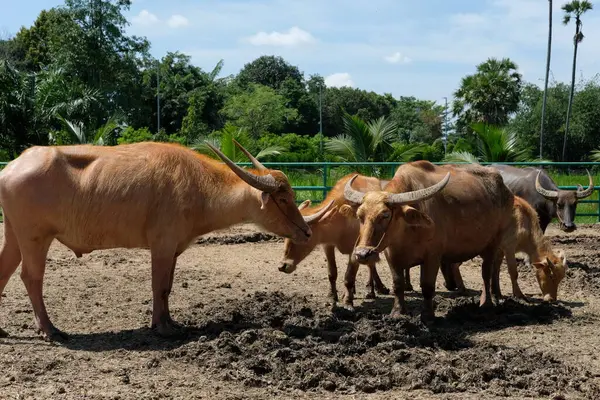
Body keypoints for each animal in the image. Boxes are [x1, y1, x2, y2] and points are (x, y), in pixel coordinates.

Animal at [0, 140, 312, 340]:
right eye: (283, 199)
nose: (307, 232)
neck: (198, 186)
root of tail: (11, 167)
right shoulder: (162, 245)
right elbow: (158, 286)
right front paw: (161, 327)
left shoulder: (173, 249)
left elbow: (168, 289)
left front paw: (170, 321)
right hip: (35, 237)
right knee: (31, 277)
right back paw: (49, 329)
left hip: (13, 236)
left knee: (4, 271)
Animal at [278, 173, 392, 302]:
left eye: (306, 234)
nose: (283, 266)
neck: (343, 219)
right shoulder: (327, 245)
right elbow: (332, 273)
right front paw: (333, 295)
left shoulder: (356, 249)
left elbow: (350, 275)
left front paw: (348, 298)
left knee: (370, 264)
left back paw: (372, 290)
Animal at [340, 161, 512, 320]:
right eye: (360, 215)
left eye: (385, 215)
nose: (362, 254)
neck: (407, 232)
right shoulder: (392, 256)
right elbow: (398, 284)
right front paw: (397, 312)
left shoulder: (432, 256)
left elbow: (427, 286)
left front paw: (428, 315)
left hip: (494, 243)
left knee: (487, 272)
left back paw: (486, 303)